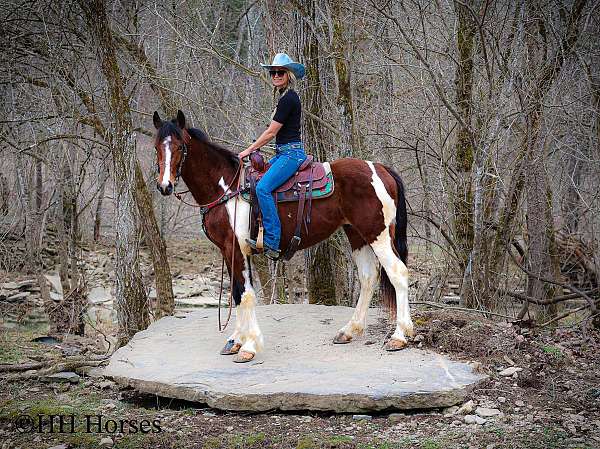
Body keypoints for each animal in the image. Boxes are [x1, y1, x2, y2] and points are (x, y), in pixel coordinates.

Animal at [151, 110, 412, 362]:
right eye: (156, 147)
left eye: (180, 147)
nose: (165, 186)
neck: (225, 189)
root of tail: (380, 169)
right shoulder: (228, 251)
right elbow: (236, 293)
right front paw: (235, 341)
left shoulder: (236, 248)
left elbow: (245, 294)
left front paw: (249, 346)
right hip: (357, 235)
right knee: (368, 277)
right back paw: (349, 330)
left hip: (378, 235)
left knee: (398, 273)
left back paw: (399, 337)